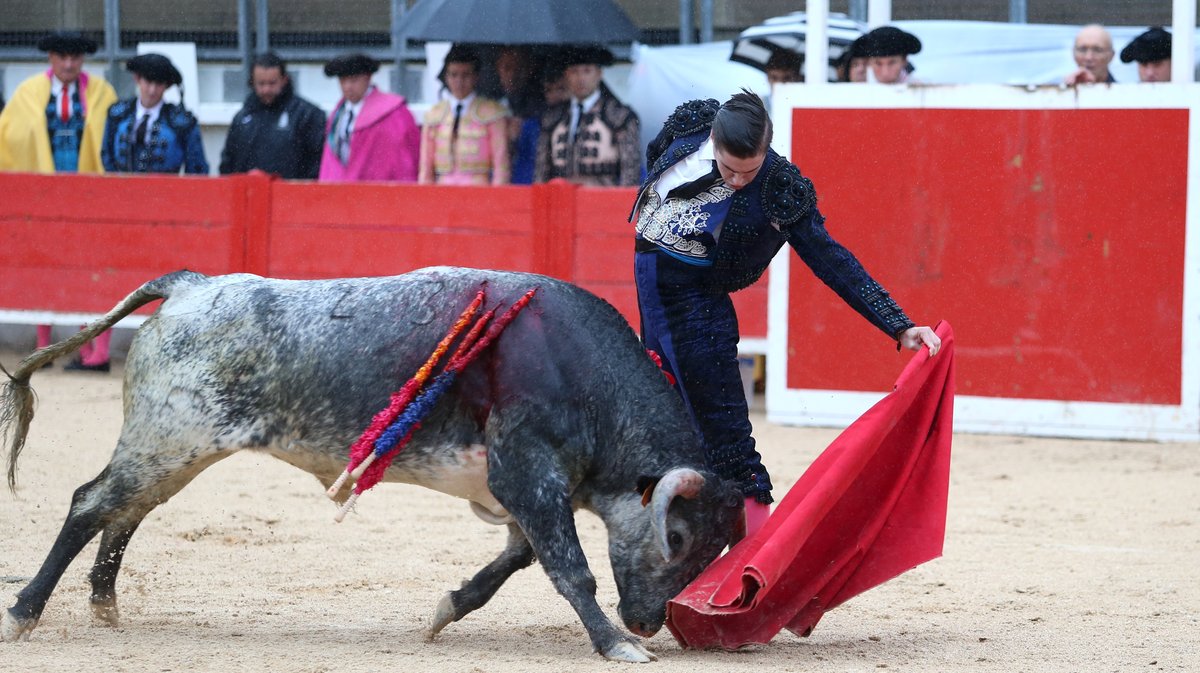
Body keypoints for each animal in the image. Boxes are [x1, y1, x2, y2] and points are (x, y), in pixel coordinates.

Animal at [0, 265, 744, 657]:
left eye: (714, 546)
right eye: (678, 537)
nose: (647, 620)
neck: (579, 372)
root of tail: (193, 284)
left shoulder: (516, 493)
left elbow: (511, 562)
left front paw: (445, 609)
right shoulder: (528, 476)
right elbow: (571, 568)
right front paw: (615, 645)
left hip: (175, 450)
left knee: (125, 512)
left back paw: (104, 606)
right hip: (168, 438)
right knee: (91, 503)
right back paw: (26, 610)